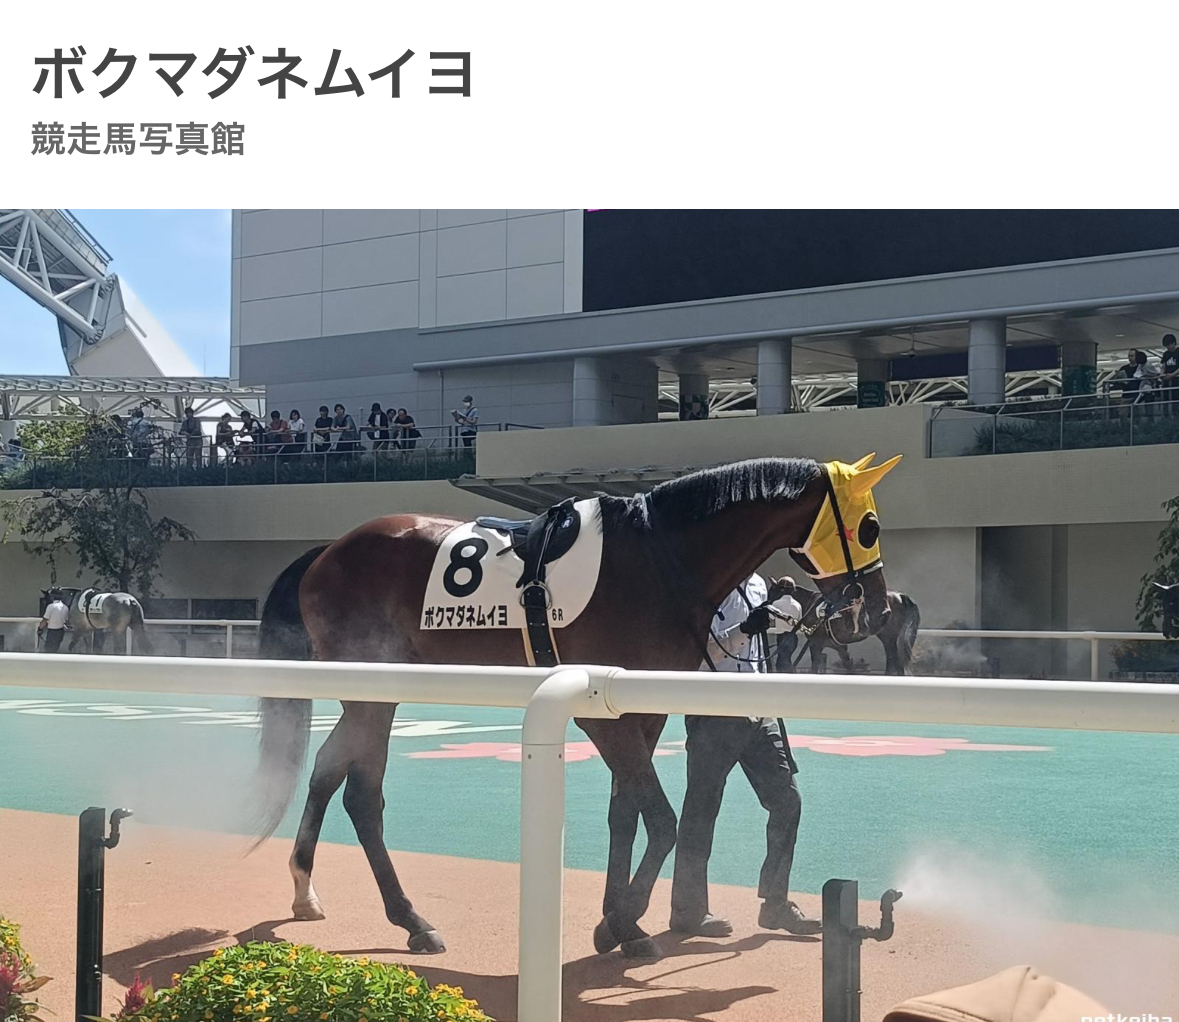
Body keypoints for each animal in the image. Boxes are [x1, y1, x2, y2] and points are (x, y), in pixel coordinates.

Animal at [251, 454, 900, 959]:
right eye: (869, 527)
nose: (873, 608)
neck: (658, 559)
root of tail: (327, 551)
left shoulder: (640, 710)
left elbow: (627, 814)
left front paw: (622, 923)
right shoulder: (597, 712)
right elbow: (662, 819)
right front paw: (622, 919)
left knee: (328, 768)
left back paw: (306, 891)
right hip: (374, 688)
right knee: (363, 795)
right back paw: (411, 919)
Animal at [787, 588, 920, 675]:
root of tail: (901, 596)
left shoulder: (815, 644)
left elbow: (814, 667)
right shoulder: (839, 647)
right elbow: (848, 666)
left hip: (888, 637)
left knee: (893, 659)